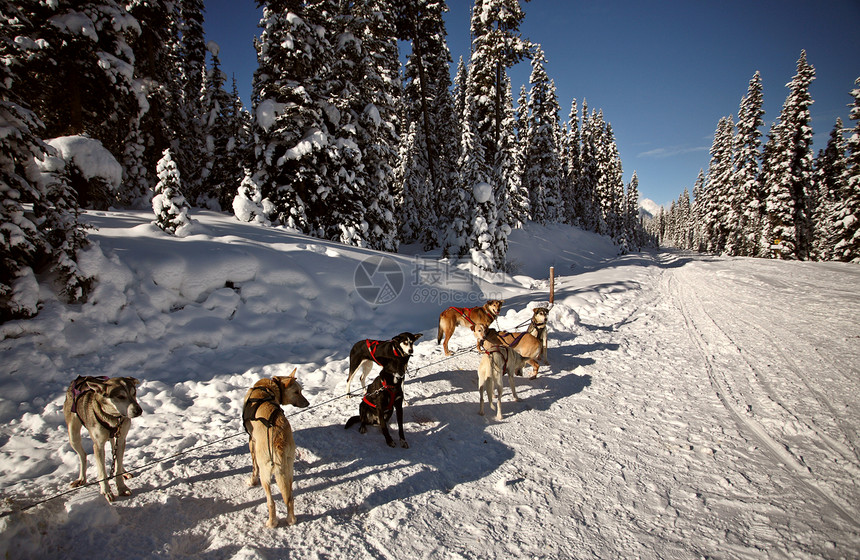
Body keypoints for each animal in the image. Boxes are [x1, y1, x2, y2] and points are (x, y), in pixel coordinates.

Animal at [242, 370, 310, 528]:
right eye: (297, 391)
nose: (308, 403)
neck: (268, 388)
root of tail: (278, 441)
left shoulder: (251, 441)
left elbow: (254, 467)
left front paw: (251, 481)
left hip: (266, 475)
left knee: (271, 502)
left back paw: (272, 522)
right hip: (288, 471)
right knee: (289, 498)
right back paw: (291, 520)